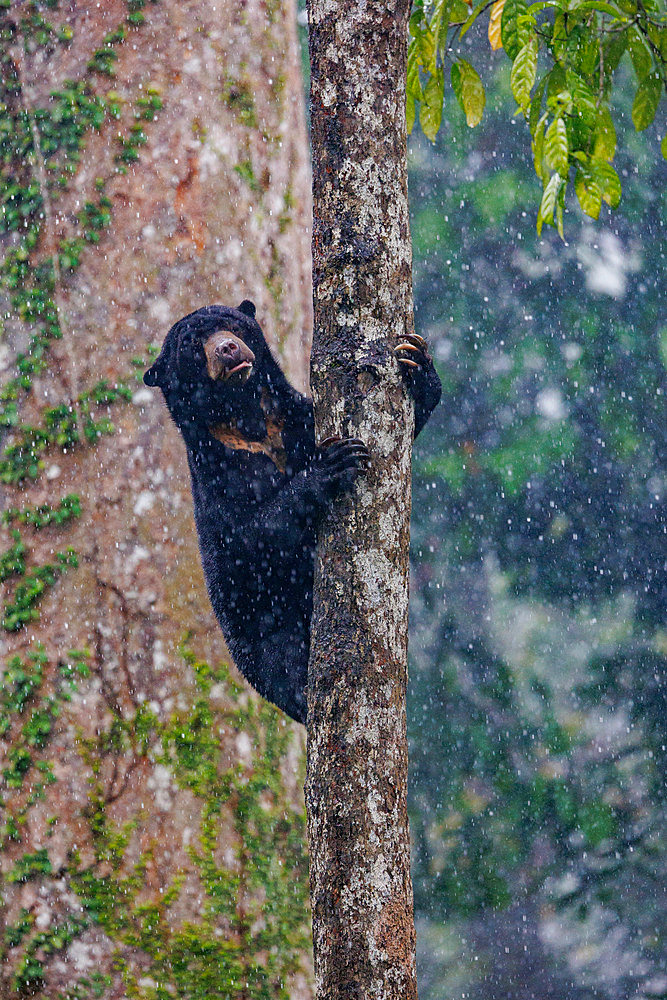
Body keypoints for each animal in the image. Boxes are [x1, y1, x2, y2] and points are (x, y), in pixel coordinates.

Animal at [144, 300, 440, 724]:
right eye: (190, 345)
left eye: (234, 325)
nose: (228, 349)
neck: (248, 417)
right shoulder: (219, 472)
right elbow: (250, 537)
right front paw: (332, 464)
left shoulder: (297, 419)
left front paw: (416, 362)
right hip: (265, 637)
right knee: (285, 665)